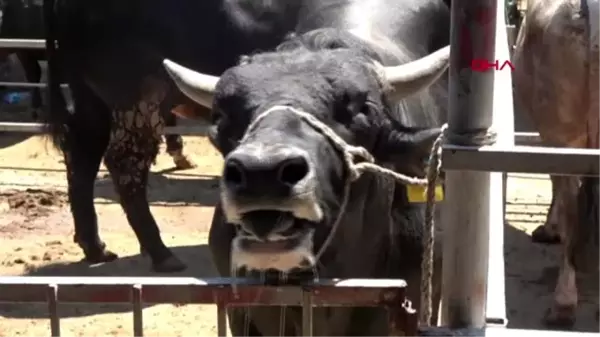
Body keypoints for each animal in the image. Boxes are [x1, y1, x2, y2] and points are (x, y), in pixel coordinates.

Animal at [43, 0, 300, 270]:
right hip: (137, 97)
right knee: (124, 162)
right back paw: (161, 254)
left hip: (91, 99)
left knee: (82, 158)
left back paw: (95, 248)